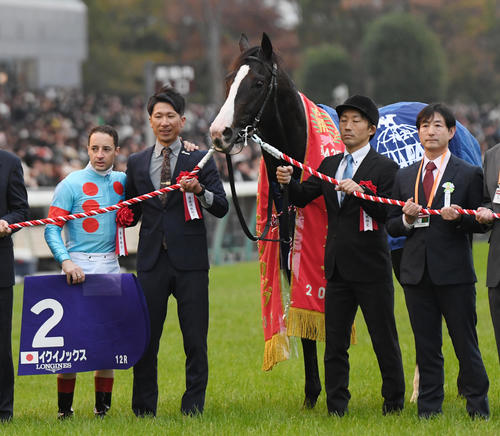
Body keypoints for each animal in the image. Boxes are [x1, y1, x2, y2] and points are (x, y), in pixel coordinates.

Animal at [211, 32, 324, 408]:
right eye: (229, 81)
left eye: (258, 83)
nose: (219, 132)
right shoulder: (292, 253)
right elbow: (306, 322)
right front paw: (311, 395)